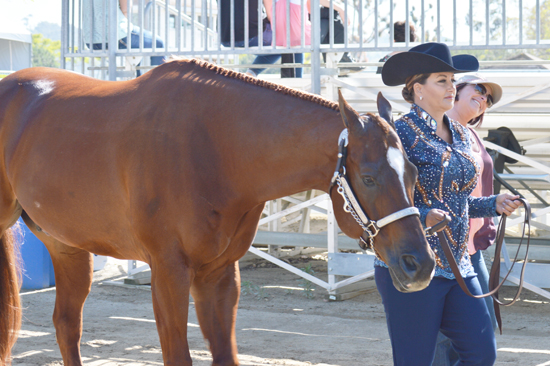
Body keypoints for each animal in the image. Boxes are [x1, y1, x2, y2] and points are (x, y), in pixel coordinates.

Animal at [0, 58, 436, 364]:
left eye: (414, 172)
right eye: (369, 178)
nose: (420, 264)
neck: (214, 146)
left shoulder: (220, 273)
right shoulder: (168, 272)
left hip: (67, 246)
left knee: (66, 325)